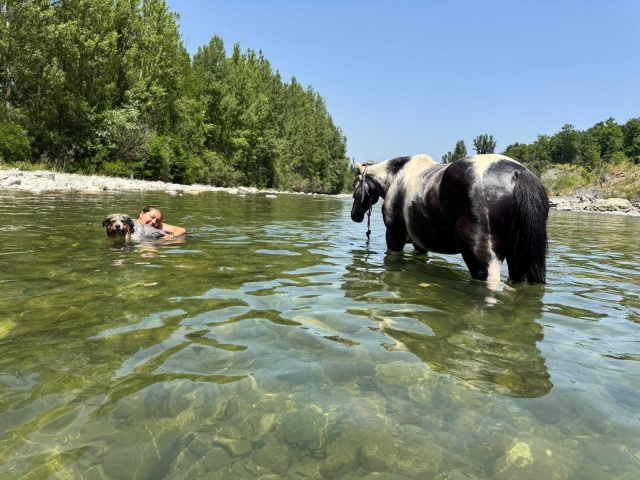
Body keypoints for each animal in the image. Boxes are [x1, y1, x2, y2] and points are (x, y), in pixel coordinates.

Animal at [350, 154, 549, 284]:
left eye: (354, 183)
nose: (354, 215)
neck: (395, 178)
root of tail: (518, 173)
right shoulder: (420, 245)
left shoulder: (394, 238)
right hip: (519, 260)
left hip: (484, 262)